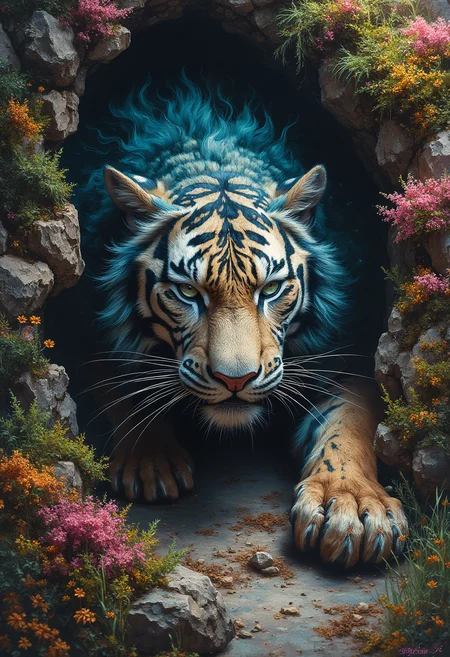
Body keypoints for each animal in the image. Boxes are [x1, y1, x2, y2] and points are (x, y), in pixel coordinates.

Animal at [81, 79, 408, 568]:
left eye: (270, 289)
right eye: (188, 292)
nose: (235, 380)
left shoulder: (349, 350)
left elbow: (349, 421)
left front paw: (353, 505)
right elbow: (122, 381)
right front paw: (151, 462)